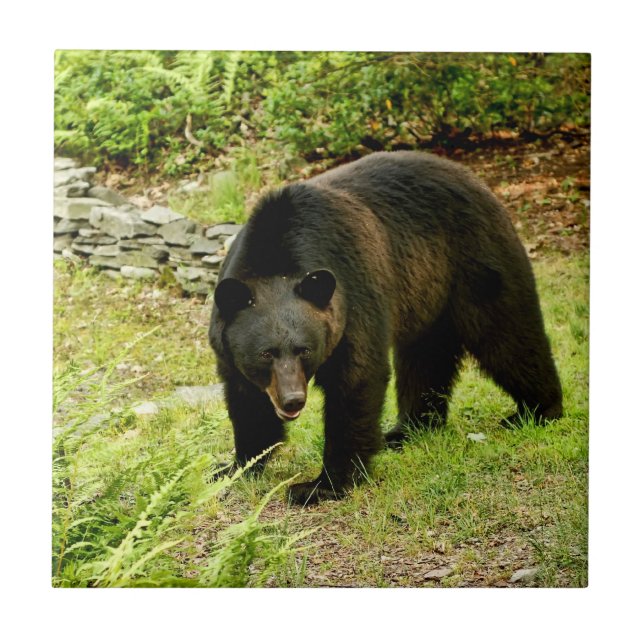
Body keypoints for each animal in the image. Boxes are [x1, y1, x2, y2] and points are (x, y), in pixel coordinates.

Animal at [208, 151, 562, 505]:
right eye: (266, 353)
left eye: (304, 349)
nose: (292, 400)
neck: (277, 255)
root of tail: (474, 177)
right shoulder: (230, 345)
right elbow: (246, 400)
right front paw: (232, 468)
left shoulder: (353, 295)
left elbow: (355, 380)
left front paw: (321, 485)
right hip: (427, 294)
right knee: (426, 356)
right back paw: (408, 429)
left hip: (475, 261)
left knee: (506, 333)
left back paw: (537, 410)